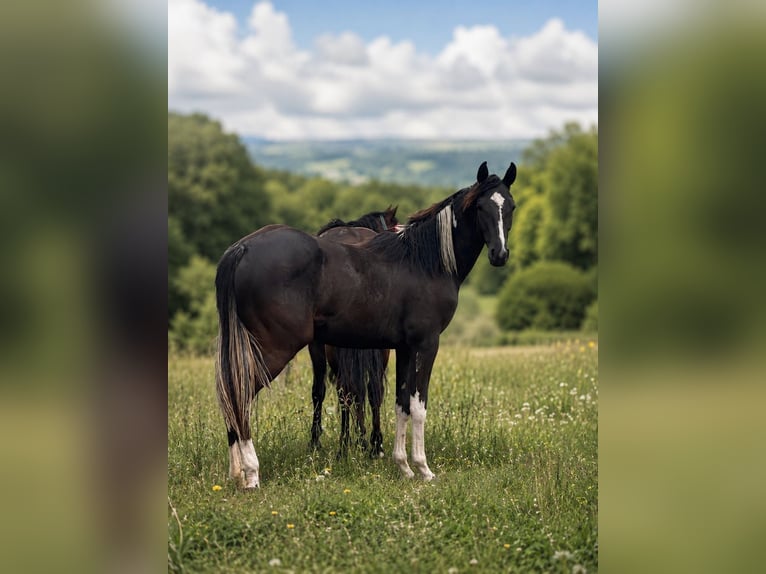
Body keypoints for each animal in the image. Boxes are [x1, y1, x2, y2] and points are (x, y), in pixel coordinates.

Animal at [310, 206, 398, 458]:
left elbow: (319, 391)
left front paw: (316, 440)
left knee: (346, 392)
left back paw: (344, 444)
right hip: (380, 348)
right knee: (373, 390)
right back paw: (375, 445)